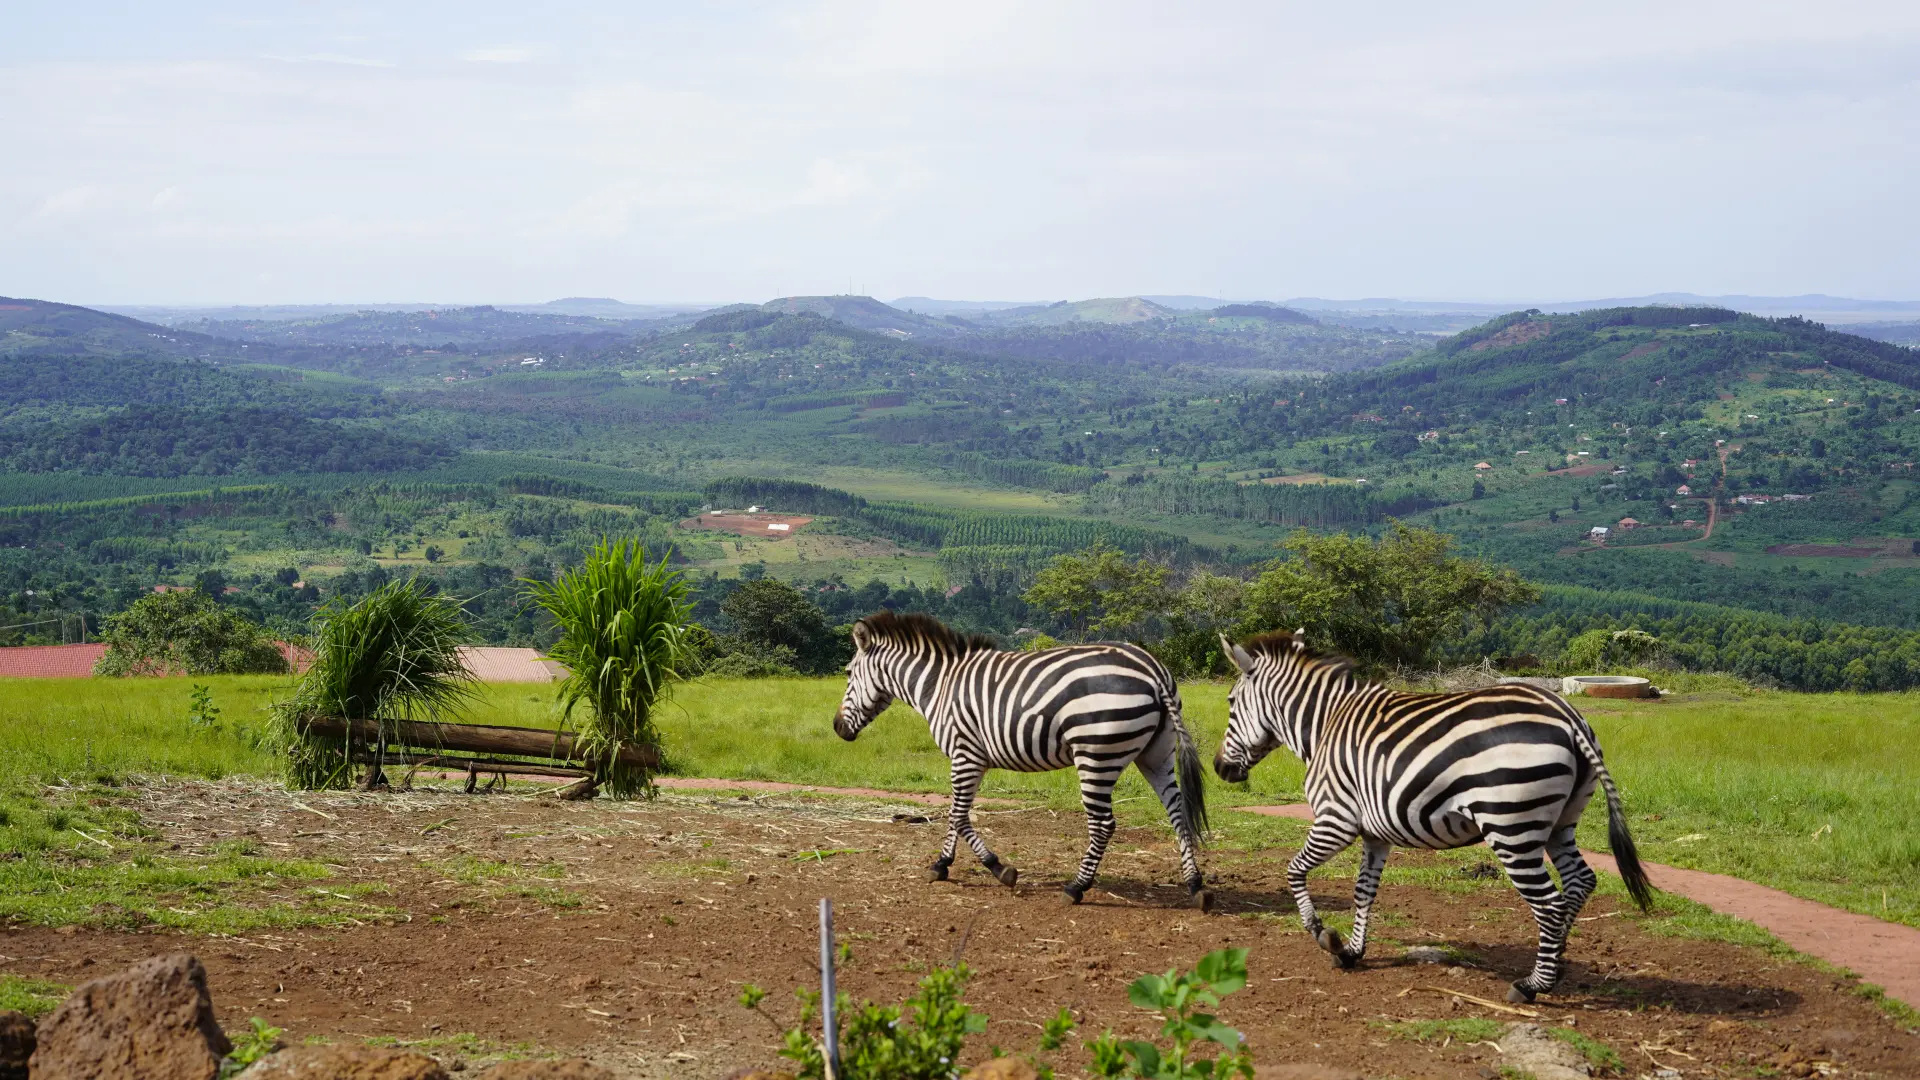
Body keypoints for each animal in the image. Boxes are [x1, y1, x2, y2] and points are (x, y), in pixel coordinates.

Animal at [833, 611, 1205, 903]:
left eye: (849, 673)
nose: (837, 728)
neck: (938, 684)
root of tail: (1152, 669)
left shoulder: (964, 753)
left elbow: (958, 815)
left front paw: (998, 868)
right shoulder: (974, 758)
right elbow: (956, 813)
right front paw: (942, 865)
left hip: (1096, 756)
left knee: (1103, 824)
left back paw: (1076, 888)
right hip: (1156, 754)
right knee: (1177, 811)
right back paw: (1196, 885)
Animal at [1213, 626, 1651, 999]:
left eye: (1231, 704)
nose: (1219, 768)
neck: (1324, 725)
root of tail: (1566, 714)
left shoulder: (1336, 819)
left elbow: (1294, 870)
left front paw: (1322, 932)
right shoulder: (1375, 834)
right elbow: (1363, 891)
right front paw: (1352, 951)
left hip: (1511, 827)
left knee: (1550, 903)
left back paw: (1532, 985)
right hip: (1559, 822)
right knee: (1580, 880)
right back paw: (1556, 966)